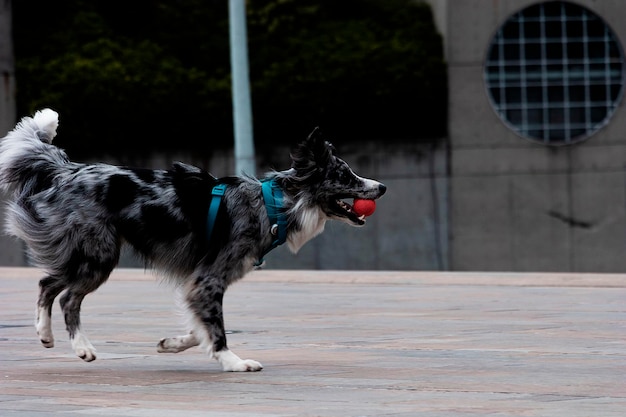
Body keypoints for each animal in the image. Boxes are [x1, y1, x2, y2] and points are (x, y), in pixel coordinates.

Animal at [0, 109, 386, 370]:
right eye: (345, 176)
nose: (381, 187)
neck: (275, 204)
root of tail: (68, 170)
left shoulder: (198, 280)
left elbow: (198, 324)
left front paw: (172, 344)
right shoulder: (210, 277)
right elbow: (215, 325)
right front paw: (233, 361)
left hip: (84, 254)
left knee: (48, 283)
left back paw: (45, 335)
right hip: (100, 255)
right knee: (67, 297)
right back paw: (82, 347)